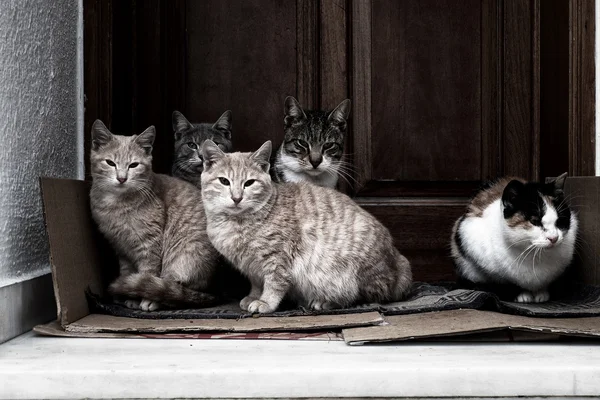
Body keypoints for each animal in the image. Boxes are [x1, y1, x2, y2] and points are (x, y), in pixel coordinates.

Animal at [89, 120, 220, 310]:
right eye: (110, 163)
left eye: (134, 165)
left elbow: (147, 275)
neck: (116, 204)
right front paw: (128, 296)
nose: (122, 178)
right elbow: (128, 274)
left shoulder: (149, 246)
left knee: (173, 287)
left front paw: (143, 299)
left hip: (181, 259)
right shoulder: (121, 249)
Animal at [199, 140, 410, 312]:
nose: (236, 198)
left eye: (249, 183)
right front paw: (253, 296)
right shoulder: (253, 267)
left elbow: (274, 283)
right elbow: (257, 283)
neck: (236, 222)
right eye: (224, 181)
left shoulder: (277, 259)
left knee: (361, 296)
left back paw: (325, 302)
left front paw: (265, 302)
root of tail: (398, 263)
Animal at [452, 173, 580, 304]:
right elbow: (506, 283)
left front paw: (541, 294)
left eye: (560, 220)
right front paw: (522, 295)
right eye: (534, 221)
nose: (554, 238)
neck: (533, 255)